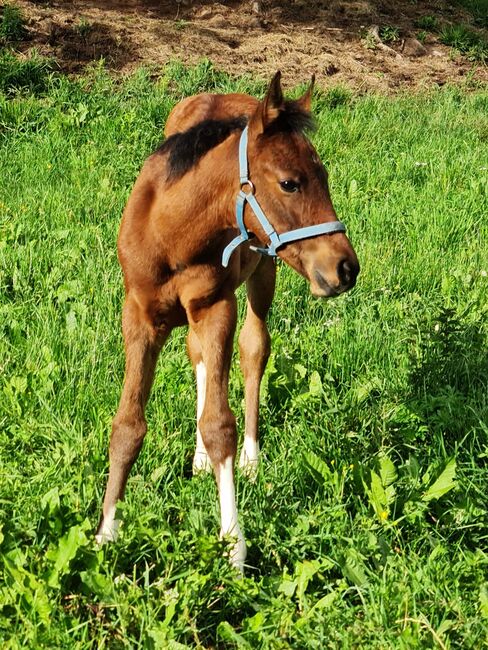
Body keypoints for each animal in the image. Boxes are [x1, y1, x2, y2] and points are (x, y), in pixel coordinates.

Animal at [96, 71, 359, 571]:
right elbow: (127, 427)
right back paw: (200, 460)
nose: (346, 268)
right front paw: (104, 537)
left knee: (254, 348)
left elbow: (221, 424)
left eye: (326, 176)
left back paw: (252, 461)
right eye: (291, 183)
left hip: (265, 269)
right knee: (198, 354)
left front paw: (233, 544)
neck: (173, 235)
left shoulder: (217, 306)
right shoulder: (137, 315)